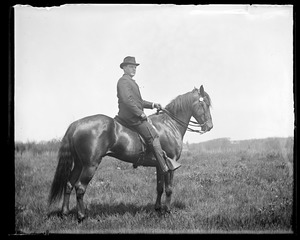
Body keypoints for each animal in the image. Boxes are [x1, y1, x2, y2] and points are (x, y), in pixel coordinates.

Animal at [48, 84, 213, 221]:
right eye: (204, 104)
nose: (209, 126)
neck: (169, 125)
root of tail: (76, 124)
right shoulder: (170, 165)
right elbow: (169, 189)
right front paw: (167, 211)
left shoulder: (160, 166)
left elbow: (159, 188)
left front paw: (158, 209)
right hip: (90, 165)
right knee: (80, 187)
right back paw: (81, 216)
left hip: (79, 164)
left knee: (69, 184)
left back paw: (65, 213)